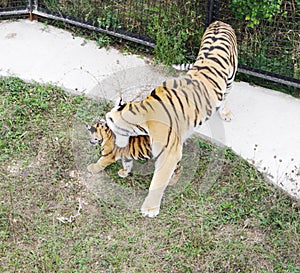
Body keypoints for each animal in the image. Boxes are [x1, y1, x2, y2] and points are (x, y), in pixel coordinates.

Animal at [105, 20, 237, 217]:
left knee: (226, 95)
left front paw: (149, 209)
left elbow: (158, 180)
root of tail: (219, 21)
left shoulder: (168, 153)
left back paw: (225, 112)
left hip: (230, 77)